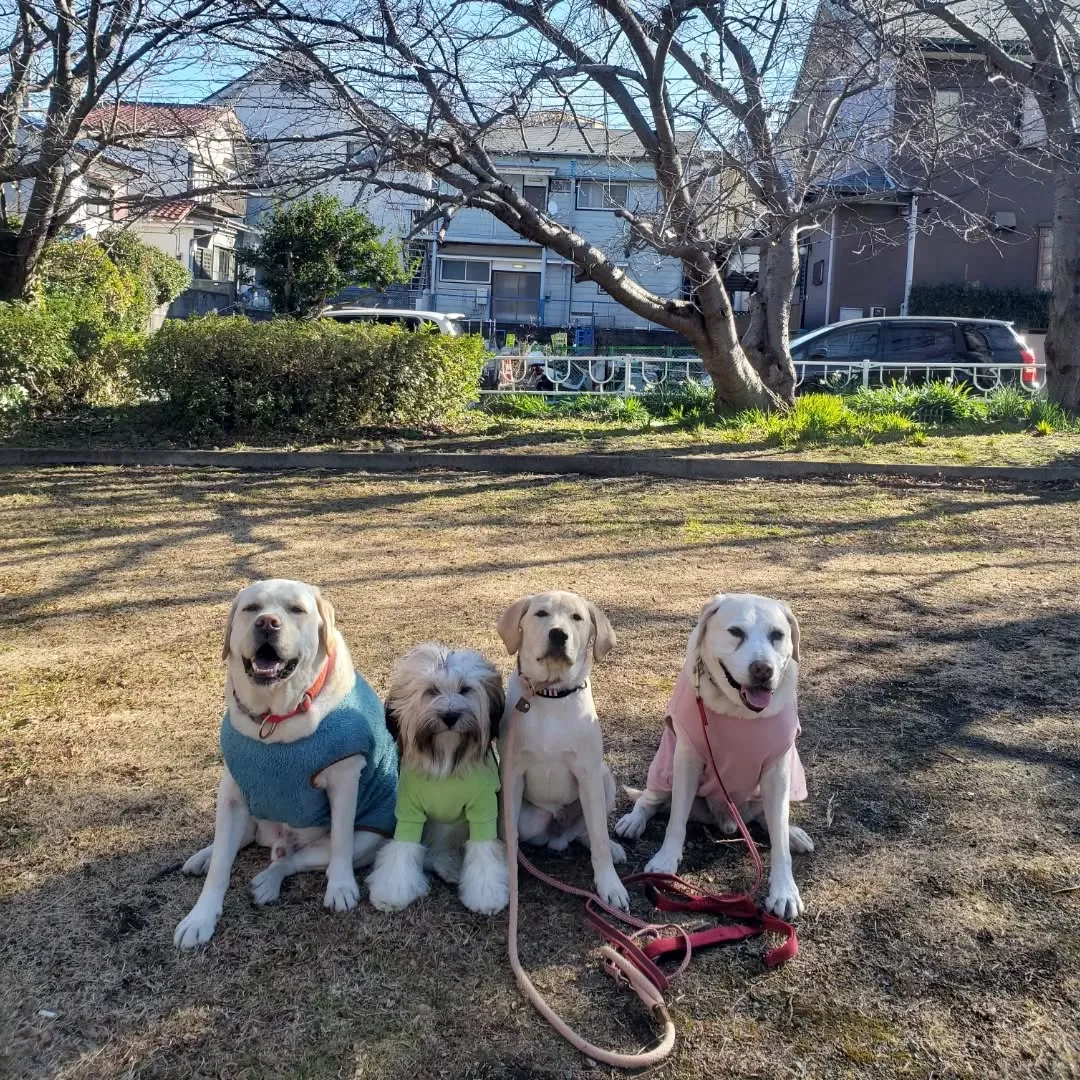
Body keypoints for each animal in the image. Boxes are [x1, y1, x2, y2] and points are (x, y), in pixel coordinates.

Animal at [172, 583, 397, 946]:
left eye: (296, 610)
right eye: (251, 608)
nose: (267, 623)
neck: (274, 717)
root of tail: (278, 840)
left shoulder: (344, 778)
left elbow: (340, 842)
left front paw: (341, 887)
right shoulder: (232, 791)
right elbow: (221, 865)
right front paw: (200, 917)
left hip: (366, 839)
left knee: (294, 860)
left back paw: (269, 881)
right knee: (232, 843)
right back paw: (203, 857)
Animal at [367, 643, 509, 915]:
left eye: (465, 689)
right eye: (432, 691)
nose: (450, 716)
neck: (446, 761)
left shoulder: (483, 810)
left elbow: (484, 852)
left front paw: (486, 895)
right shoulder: (409, 812)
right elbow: (402, 850)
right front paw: (392, 893)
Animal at [494, 591, 630, 911]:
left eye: (577, 618)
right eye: (541, 614)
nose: (558, 634)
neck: (550, 695)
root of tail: (559, 834)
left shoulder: (588, 775)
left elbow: (599, 838)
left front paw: (610, 885)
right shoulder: (512, 773)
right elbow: (508, 834)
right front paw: (508, 871)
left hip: (604, 779)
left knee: (588, 832)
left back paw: (611, 847)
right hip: (533, 818)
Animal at [617, 591, 812, 920]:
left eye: (777, 635)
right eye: (736, 632)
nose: (763, 670)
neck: (739, 712)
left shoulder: (778, 771)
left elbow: (779, 840)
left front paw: (784, 890)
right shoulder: (687, 759)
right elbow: (676, 820)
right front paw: (666, 861)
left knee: (771, 820)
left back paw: (793, 833)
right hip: (664, 771)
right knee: (648, 801)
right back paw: (633, 821)